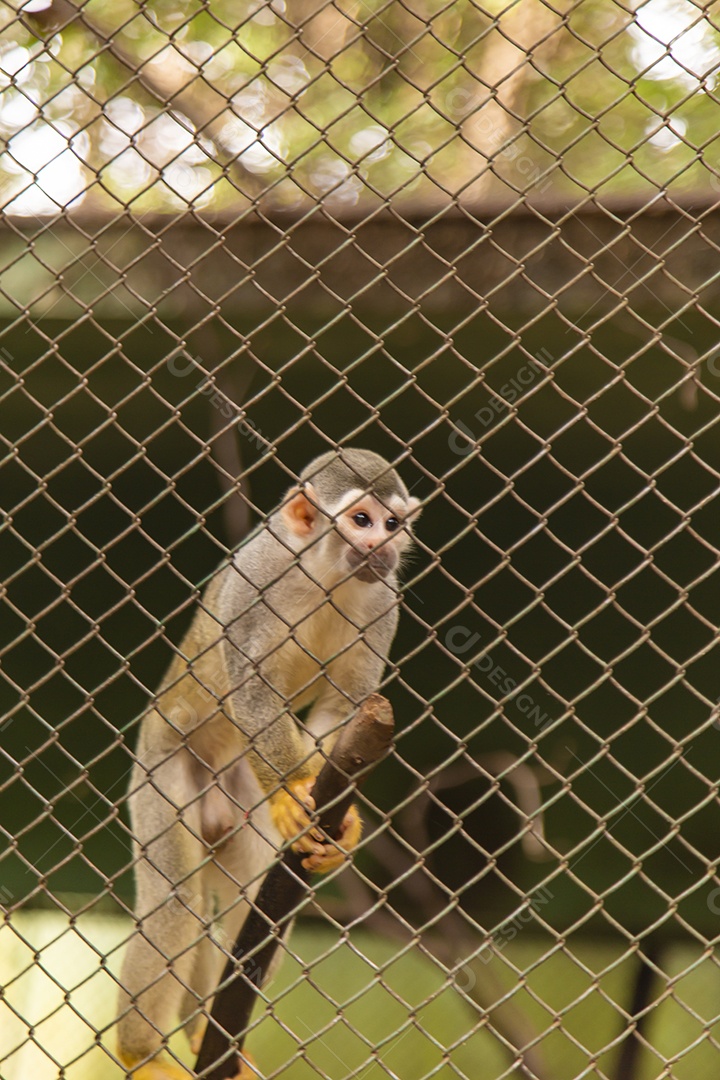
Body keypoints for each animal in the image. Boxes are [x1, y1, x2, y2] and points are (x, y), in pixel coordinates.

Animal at [116, 448, 421, 1080]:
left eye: (393, 524)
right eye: (361, 520)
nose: (382, 546)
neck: (324, 574)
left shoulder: (385, 599)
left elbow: (346, 707)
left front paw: (338, 825)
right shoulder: (255, 578)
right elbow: (253, 687)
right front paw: (291, 789)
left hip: (238, 794)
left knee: (245, 897)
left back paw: (212, 1035)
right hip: (162, 767)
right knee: (175, 901)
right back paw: (142, 1056)